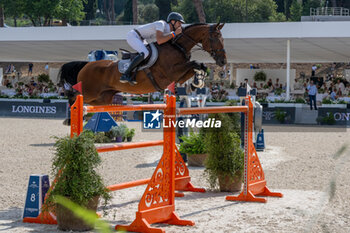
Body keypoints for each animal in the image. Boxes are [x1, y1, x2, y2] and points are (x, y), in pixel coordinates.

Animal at [58, 22, 226, 108]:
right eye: (215, 37)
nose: (223, 61)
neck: (178, 47)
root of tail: (86, 65)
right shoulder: (171, 72)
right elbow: (195, 63)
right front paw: (197, 82)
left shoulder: (179, 75)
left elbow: (197, 66)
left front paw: (197, 82)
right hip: (89, 91)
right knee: (73, 95)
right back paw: (69, 118)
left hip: (102, 97)